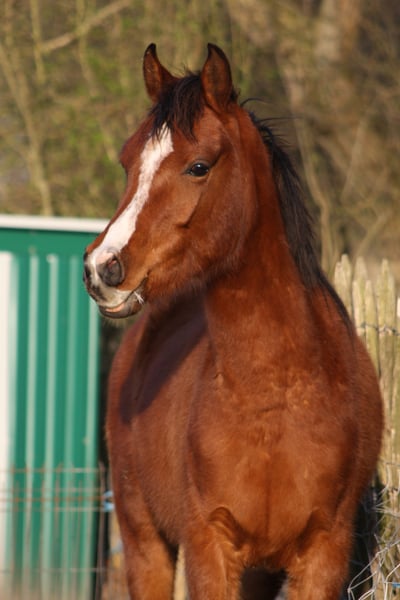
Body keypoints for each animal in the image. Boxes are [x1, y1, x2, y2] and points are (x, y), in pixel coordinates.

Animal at [83, 44, 383, 599]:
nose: (102, 268)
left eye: (199, 166)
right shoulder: (209, 548)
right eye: (127, 161)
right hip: (143, 542)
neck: (277, 395)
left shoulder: (324, 555)